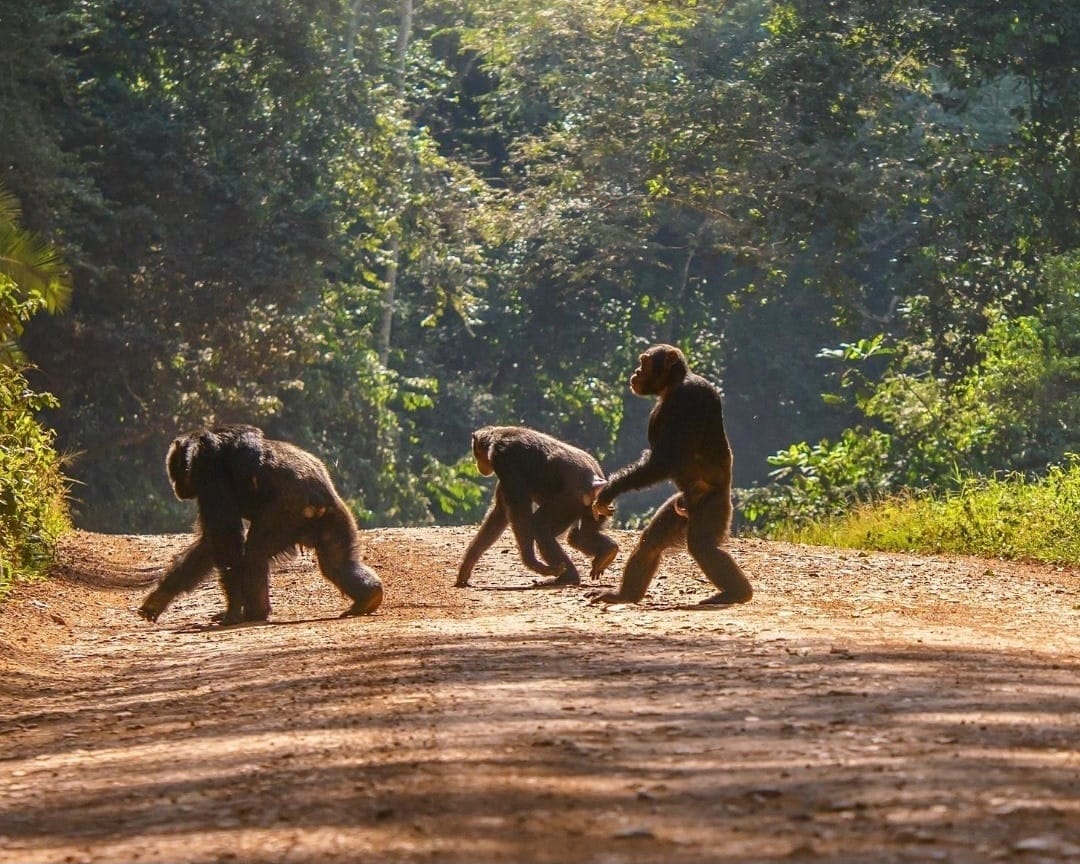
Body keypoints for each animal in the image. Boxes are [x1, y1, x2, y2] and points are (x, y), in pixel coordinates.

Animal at [138, 424, 383, 624]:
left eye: (175, 471)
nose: (176, 487)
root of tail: (318, 499)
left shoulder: (209, 476)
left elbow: (225, 538)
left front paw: (233, 610)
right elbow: (209, 544)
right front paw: (159, 598)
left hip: (285, 513)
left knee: (255, 553)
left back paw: (255, 613)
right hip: (334, 517)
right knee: (337, 563)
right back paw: (368, 597)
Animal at [455, 425, 619, 589]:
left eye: (476, 454)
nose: (477, 464)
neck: (494, 439)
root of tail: (595, 483)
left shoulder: (504, 460)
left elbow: (519, 509)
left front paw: (532, 561)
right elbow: (500, 513)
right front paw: (466, 567)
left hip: (567, 503)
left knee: (540, 527)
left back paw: (568, 577)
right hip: (597, 507)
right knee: (579, 536)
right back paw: (607, 551)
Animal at [589, 345, 752, 606]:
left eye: (644, 362)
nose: (636, 372)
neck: (673, 385)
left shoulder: (688, 399)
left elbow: (664, 459)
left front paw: (609, 491)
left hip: (713, 506)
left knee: (702, 546)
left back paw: (737, 593)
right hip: (679, 508)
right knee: (651, 543)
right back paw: (624, 595)